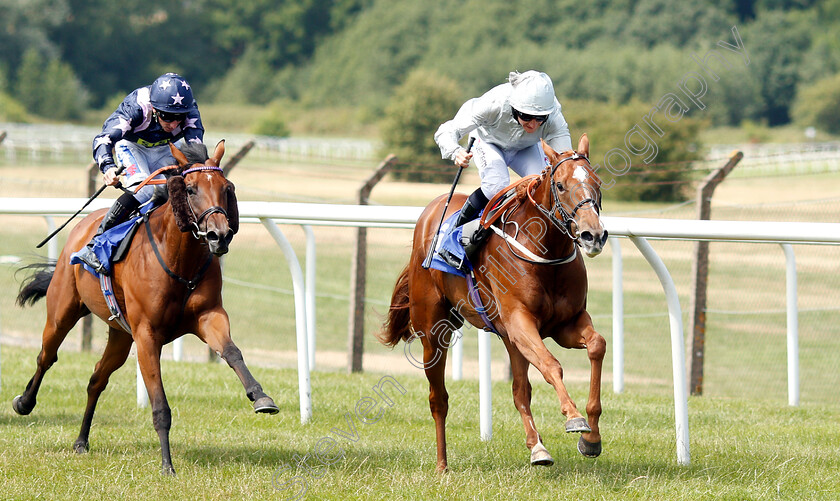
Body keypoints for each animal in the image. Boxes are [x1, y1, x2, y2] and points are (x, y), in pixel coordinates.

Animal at [14, 140, 278, 472]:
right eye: (190, 189)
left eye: (226, 187)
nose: (219, 235)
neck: (180, 260)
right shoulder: (147, 335)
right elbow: (160, 405)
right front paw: (167, 465)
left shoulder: (209, 316)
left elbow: (232, 352)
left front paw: (261, 397)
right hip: (63, 312)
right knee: (46, 356)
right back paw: (24, 403)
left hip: (120, 335)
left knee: (96, 379)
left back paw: (81, 440)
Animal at [380, 135, 612, 470]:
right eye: (561, 185)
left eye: (597, 183)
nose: (593, 234)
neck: (544, 250)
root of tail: (433, 207)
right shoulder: (520, 321)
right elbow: (551, 365)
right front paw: (574, 417)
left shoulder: (566, 323)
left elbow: (596, 345)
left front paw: (591, 437)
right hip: (434, 332)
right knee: (439, 399)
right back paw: (442, 464)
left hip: (508, 338)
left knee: (520, 391)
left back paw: (537, 447)